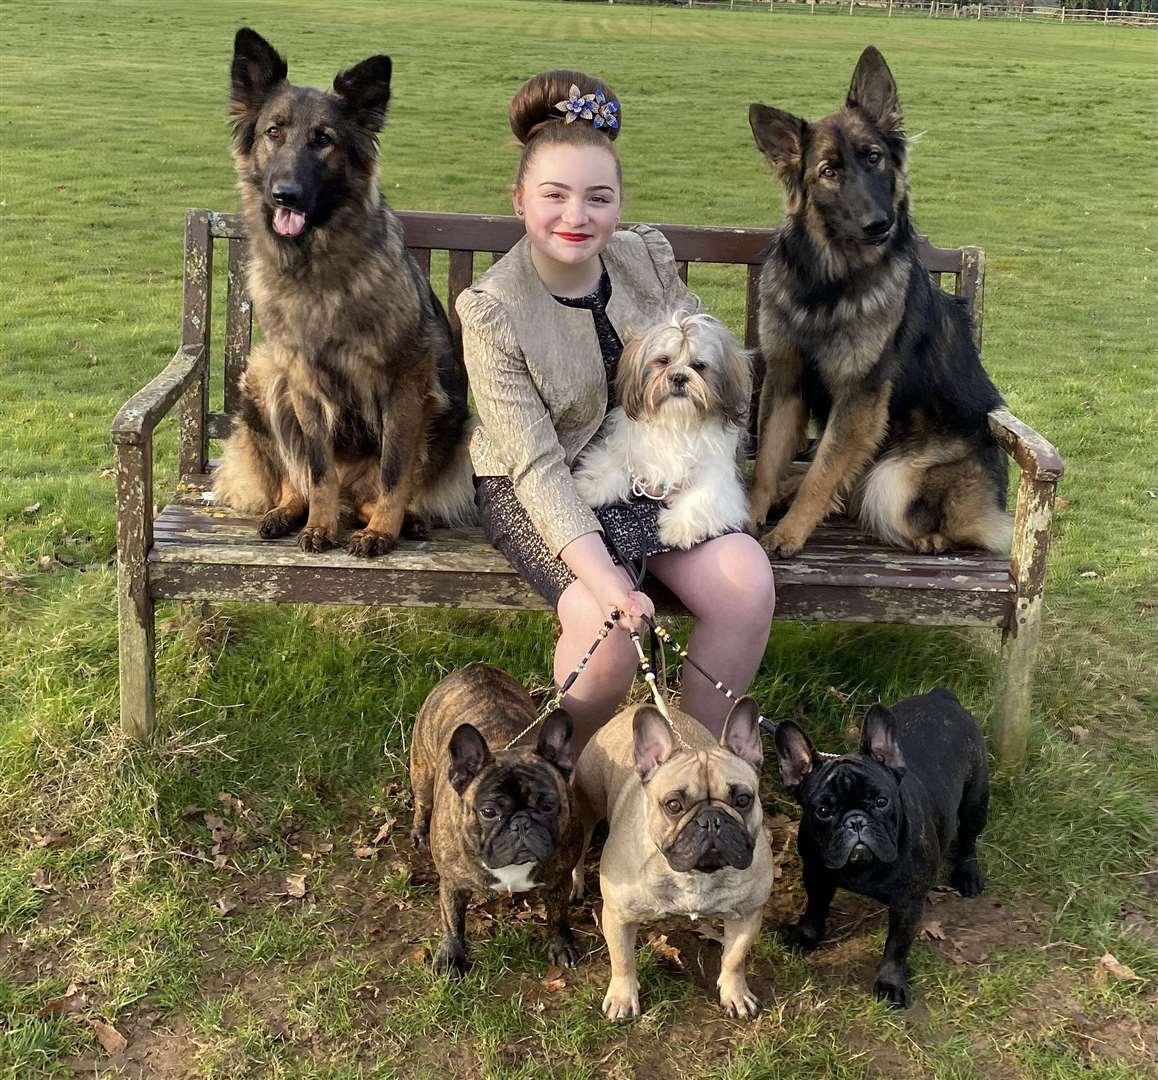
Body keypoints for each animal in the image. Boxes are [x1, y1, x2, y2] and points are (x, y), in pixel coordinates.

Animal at [574, 310, 755, 548]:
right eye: (663, 360)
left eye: (699, 365)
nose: (678, 376)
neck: (676, 419)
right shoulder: (628, 447)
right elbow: (612, 464)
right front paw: (591, 487)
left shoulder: (718, 475)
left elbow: (702, 495)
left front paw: (679, 527)